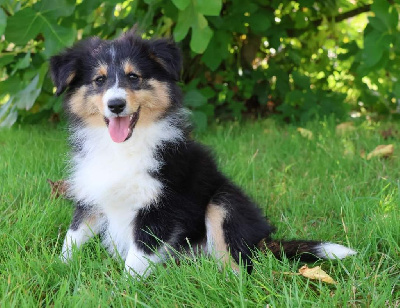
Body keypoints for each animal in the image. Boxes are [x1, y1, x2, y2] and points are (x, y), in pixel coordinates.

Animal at [50, 28, 356, 276]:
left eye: (134, 77)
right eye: (99, 80)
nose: (115, 105)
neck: (122, 148)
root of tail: (261, 240)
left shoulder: (162, 204)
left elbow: (138, 255)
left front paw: (124, 290)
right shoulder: (93, 193)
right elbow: (73, 235)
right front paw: (57, 268)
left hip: (225, 202)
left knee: (238, 264)